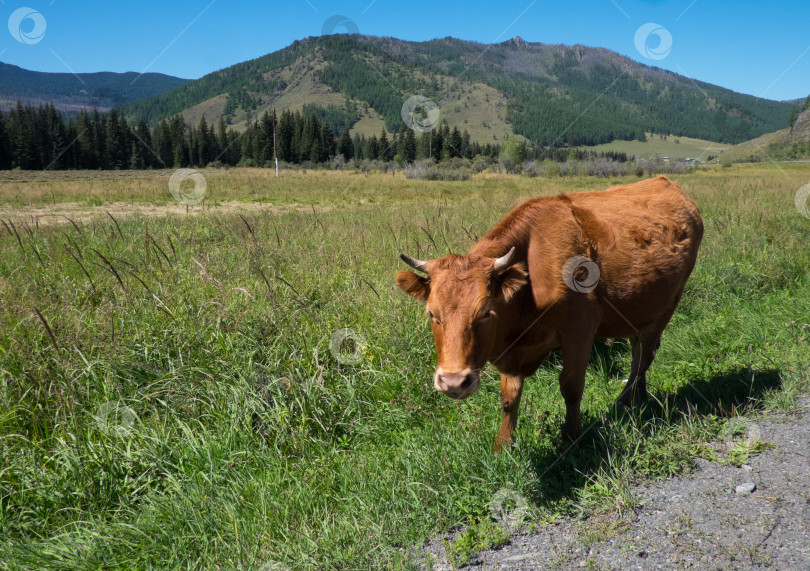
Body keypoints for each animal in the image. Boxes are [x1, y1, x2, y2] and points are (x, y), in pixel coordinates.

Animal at [396, 177, 700, 450]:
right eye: (432, 314)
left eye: (486, 312)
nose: (454, 382)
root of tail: (667, 183)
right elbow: (509, 397)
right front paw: (502, 445)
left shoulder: (579, 331)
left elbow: (571, 386)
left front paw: (572, 436)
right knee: (639, 352)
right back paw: (637, 395)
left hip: (669, 303)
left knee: (645, 354)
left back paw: (622, 403)